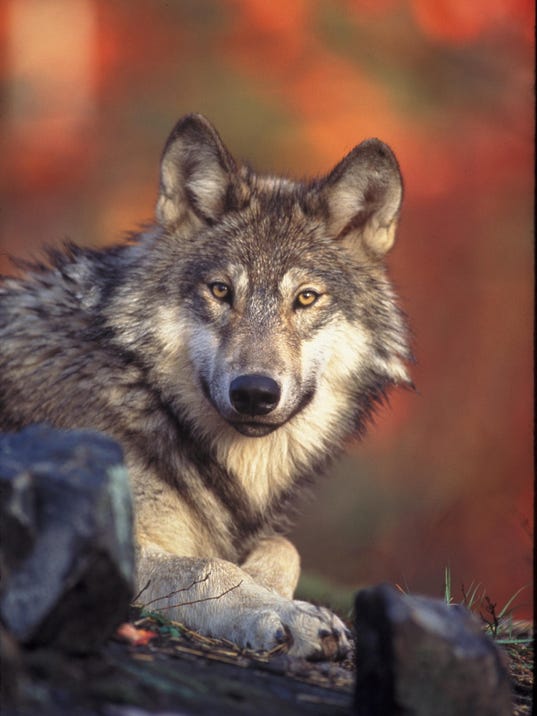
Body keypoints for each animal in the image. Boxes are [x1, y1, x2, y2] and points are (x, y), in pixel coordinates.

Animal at [0, 114, 411, 660]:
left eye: (306, 298)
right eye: (221, 291)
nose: (255, 392)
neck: (146, 395)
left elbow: (283, 547)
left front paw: (274, 591)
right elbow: (208, 568)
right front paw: (286, 614)